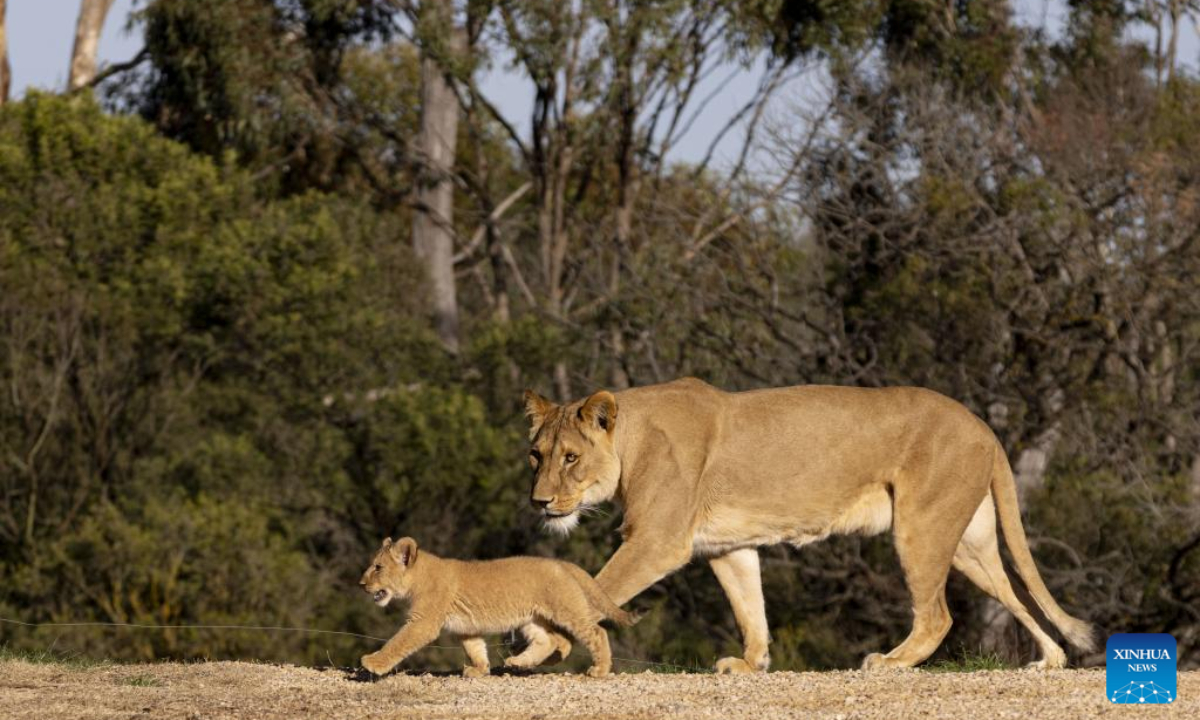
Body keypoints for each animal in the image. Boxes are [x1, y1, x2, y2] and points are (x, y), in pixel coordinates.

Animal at [358, 536, 638, 678]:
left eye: (378, 567)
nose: (361, 584)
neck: (417, 578)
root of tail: (562, 563)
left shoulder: (423, 622)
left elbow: (398, 642)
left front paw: (372, 663)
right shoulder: (466, 628)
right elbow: (475, 649)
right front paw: (479, 670)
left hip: (566, 609)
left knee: (595, 633)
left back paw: (599, 670)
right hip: (532, 619)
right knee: (553, 641)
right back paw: (519, 663)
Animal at [505, 378, 1095, 673]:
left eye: (571, 459)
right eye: (536, 455)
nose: (539, 502)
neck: (630, 442)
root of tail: (983, 426)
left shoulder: (656, 542)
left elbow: (595, 590)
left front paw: (537, 647)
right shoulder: (726, 547)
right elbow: (751, 610)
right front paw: (751, 664)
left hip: (921, 527)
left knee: (938, 616)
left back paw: (890, 662)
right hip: (970, 544)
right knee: (1017, 593)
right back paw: (1051, 660)